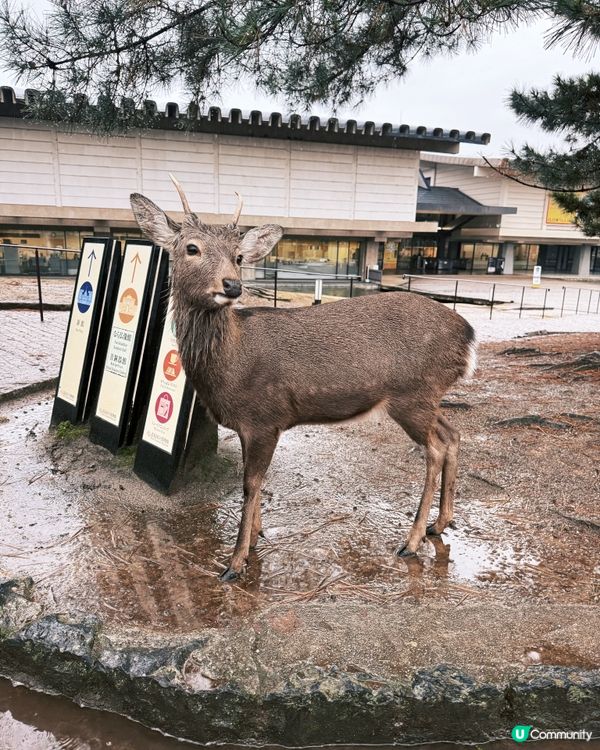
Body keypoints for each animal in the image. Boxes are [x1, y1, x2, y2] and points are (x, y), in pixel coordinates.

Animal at [130, 176, 477, 582]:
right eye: (191, 248)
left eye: (238, 255)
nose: (231, 285)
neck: (230, 367)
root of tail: (468, 335)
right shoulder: (252, 425)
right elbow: (255, 482)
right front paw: (256, 536)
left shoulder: (265, 417)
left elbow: (250, 484)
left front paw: (235, 561)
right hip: (427, 397)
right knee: (453, 435)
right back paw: (440, 523)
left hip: (413, 394)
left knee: (435, 449)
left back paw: (411, 540)